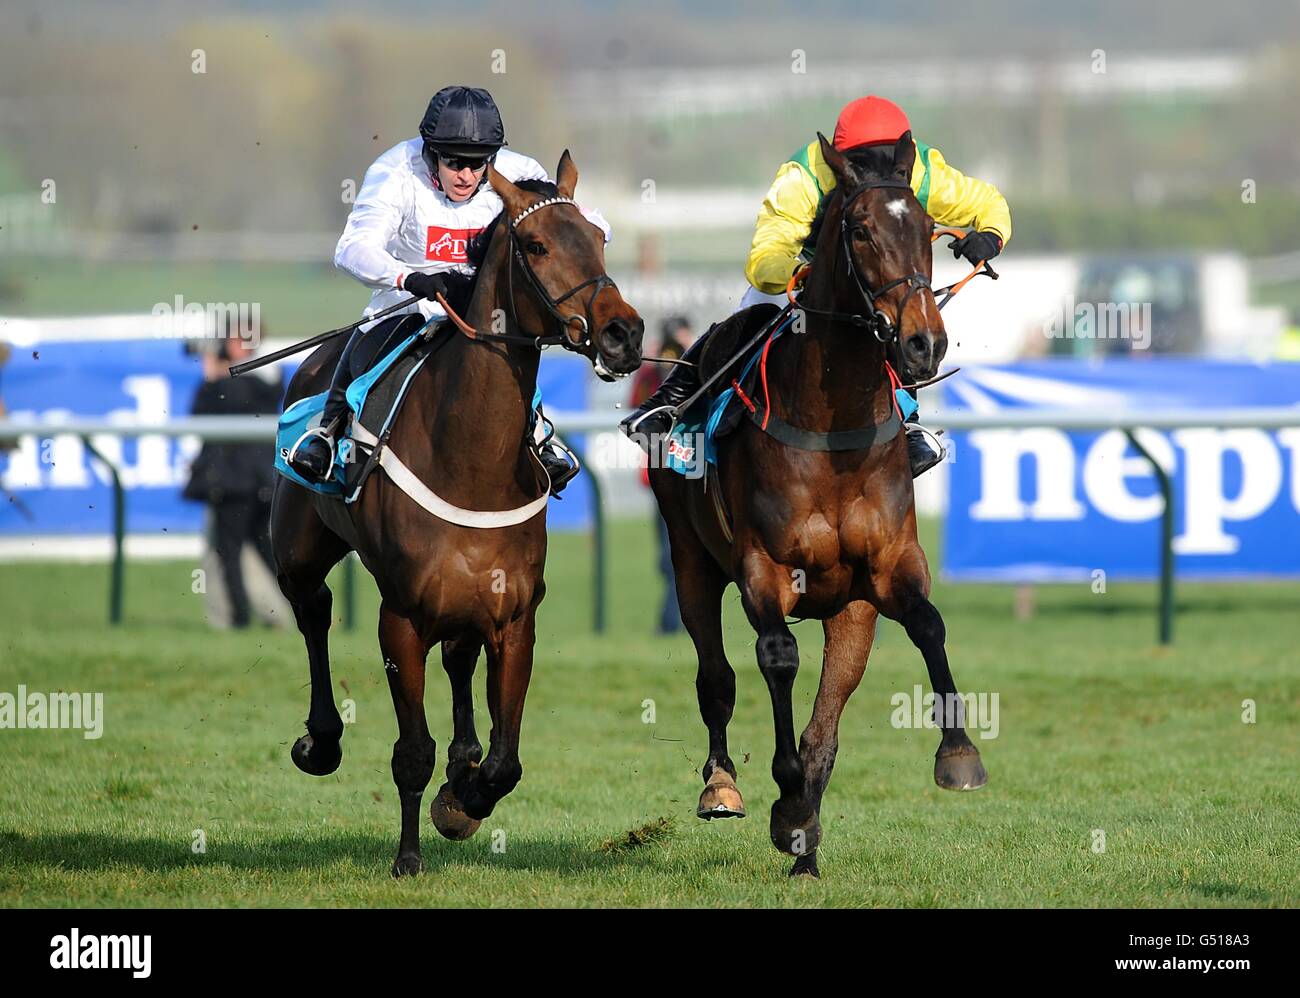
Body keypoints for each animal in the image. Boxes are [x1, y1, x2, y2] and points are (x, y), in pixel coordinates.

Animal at [270, 152, 644, 878]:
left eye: (599, 235)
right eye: (536, 245)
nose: (624, 333)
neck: (471, 462)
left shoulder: (515, 614)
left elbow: (505, 761)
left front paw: (464, 796)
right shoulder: (402, 617)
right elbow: (411, 751)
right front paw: (409, 855)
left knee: (458, 656)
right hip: (298, 547)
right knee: (313, 610)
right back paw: (320, 741)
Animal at [655, 130, 987, 873]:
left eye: (928, 228)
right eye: (860, 230)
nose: (924, 342)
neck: (834, 431)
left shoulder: (889, 564)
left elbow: (929, 625)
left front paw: (958, 753)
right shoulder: (763, 569)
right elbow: (776, 658)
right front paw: (783, 802)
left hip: (849, 610)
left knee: (825, 724)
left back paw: (806, 843)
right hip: (691, 561)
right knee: (715, 677)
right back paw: (726, 786)